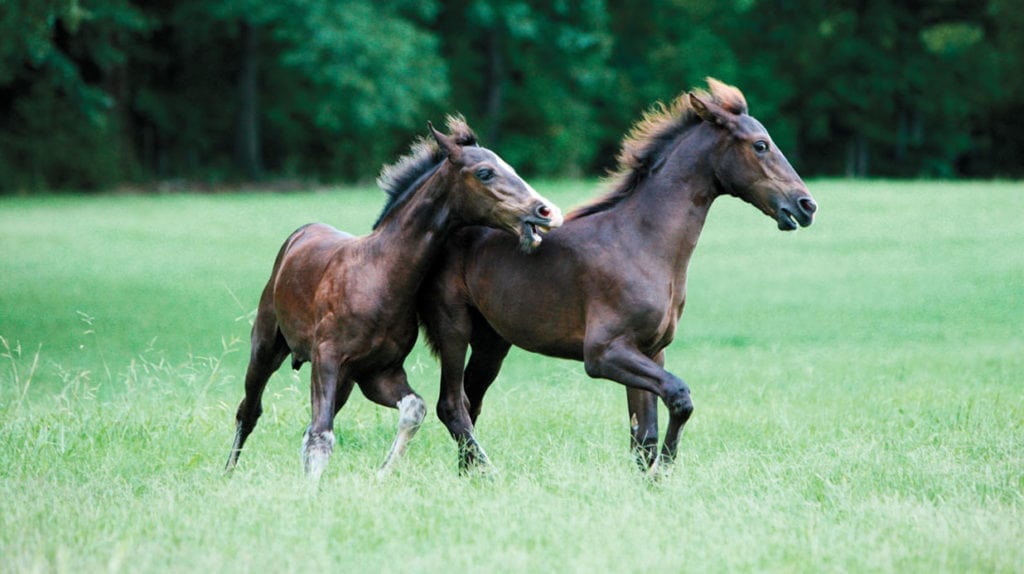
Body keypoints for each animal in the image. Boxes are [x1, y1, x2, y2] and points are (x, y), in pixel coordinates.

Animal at [224, 117, 565, 478]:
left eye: (510, 167)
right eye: (485, 172)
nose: (546, 211)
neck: (379, 274)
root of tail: (300, 234)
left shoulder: (378, 373)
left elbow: (414, 408)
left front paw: (383, 472)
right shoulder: (327, 356)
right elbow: (320, 435)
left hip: (345, 381)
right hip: (266, 346)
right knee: (249, 410)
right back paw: (228, 473)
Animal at [415, 78, 815, 472]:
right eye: (760, 145)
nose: (806, 205)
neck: (641, 241)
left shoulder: (650, 351)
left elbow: (644, 437)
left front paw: (653, 478)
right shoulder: (604, 353)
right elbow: (679, 398)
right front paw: (665, 469)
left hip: (492, 341)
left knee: (471, 401)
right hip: (454, 328)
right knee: (452, 404)